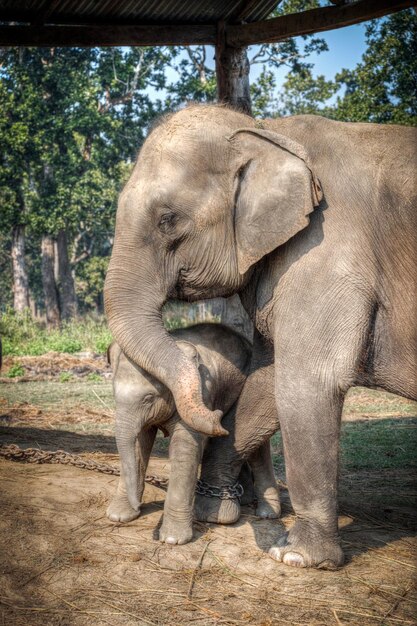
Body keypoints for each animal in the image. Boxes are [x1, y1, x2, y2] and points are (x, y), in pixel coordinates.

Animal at [106, 322, 280, 540]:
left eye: (148, 398)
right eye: (114, 394)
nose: (138, 505)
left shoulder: (201, 392)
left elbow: (185, 447)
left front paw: (172, 539)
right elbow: (140, 442)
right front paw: (119, 516)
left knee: (256, 444)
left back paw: (267, 513)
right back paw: (245, 498)